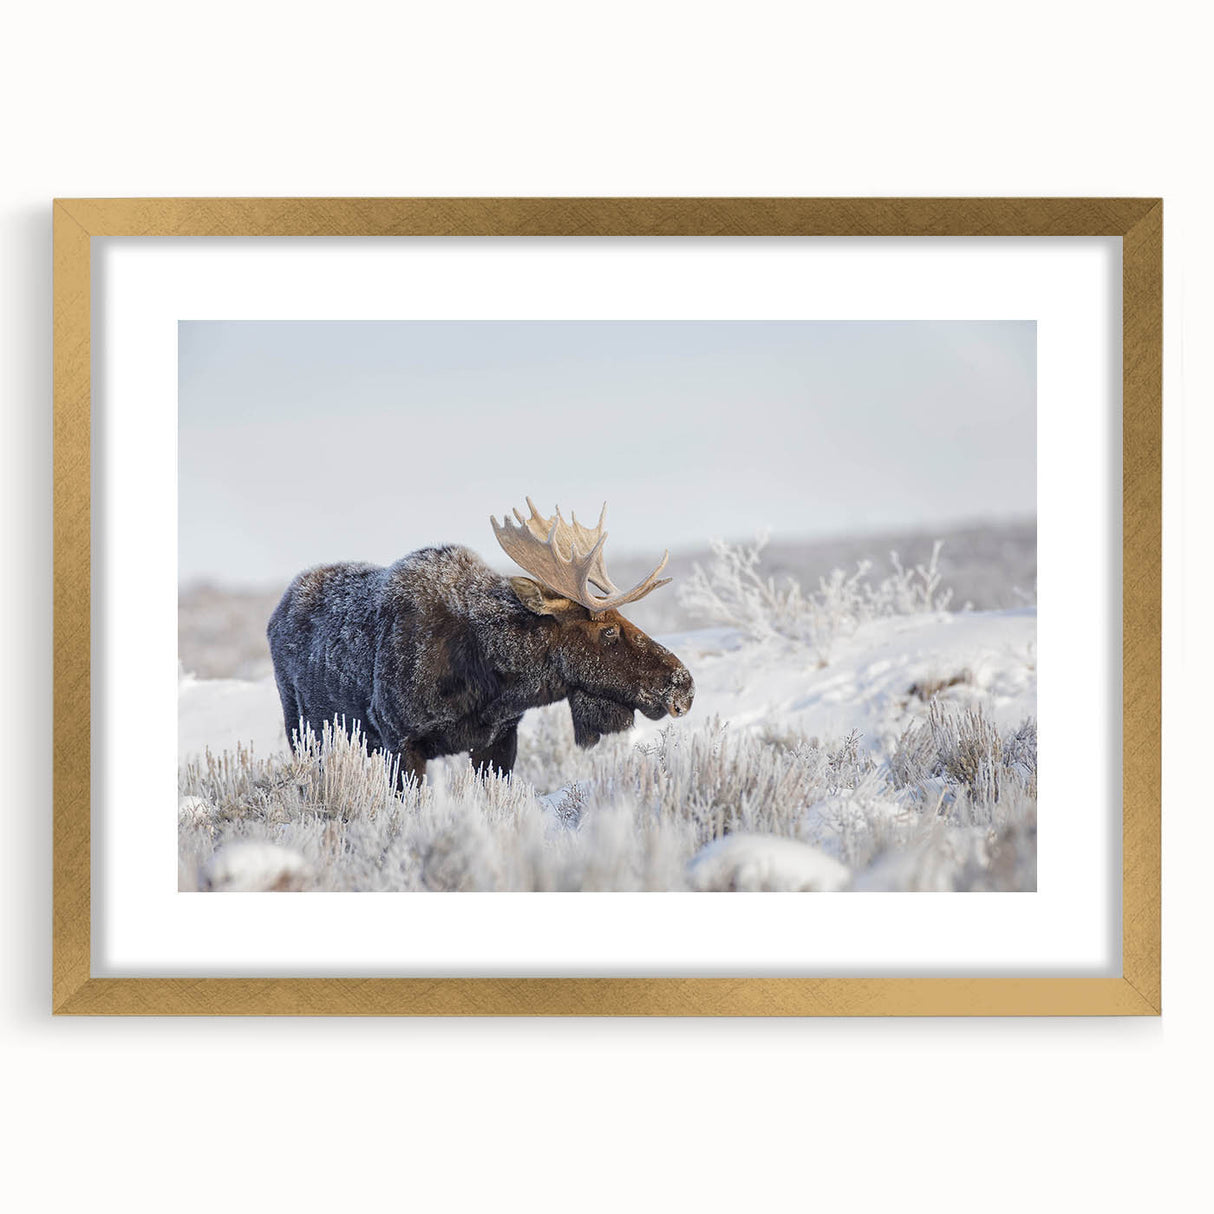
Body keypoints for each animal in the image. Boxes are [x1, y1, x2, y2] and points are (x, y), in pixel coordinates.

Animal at [267, 499, 695, 784]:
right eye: (608, 630)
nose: (684, 686)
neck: (490, 679)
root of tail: (277, 612)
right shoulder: (400, 740)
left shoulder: (499, 740)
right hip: (305, 734)